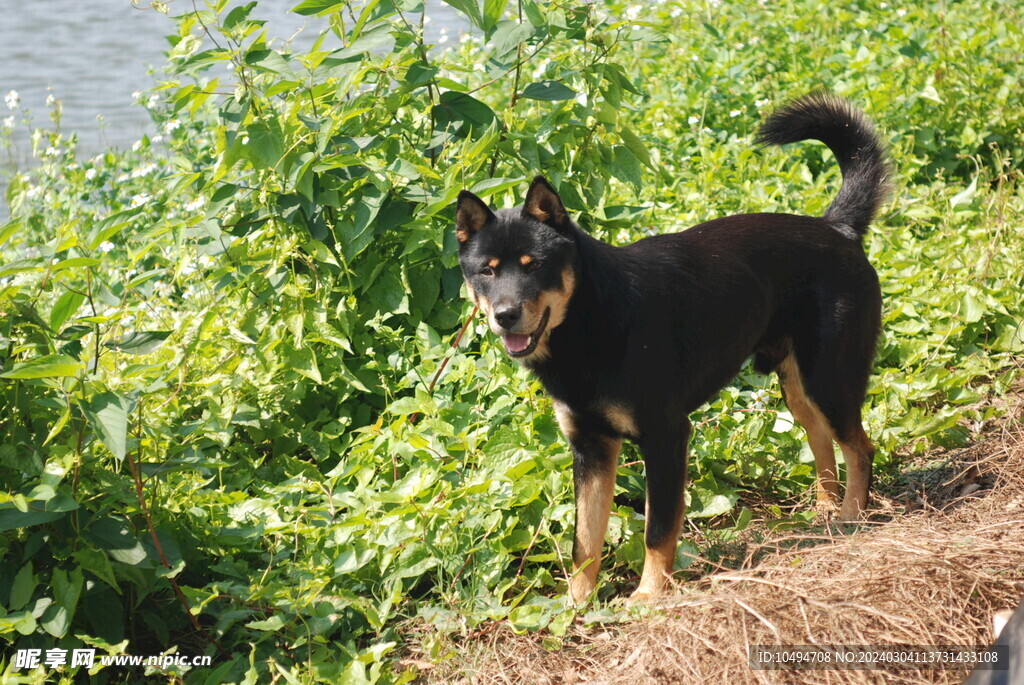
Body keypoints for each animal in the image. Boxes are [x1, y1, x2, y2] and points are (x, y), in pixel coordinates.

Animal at [454, 93, 888, 602]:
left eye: (534, 265)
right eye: (486, 270)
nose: (505, 315)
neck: (590, 321)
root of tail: (837, 228)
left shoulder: (666, 436)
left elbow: (657, 530)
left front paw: (648, 595)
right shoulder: (591, 449)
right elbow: (585, 541)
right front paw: (577, 604)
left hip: (831, 380)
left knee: (860, 447)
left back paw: (851, 517)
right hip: (797, 385)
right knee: (820, 437)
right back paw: (823, 509)